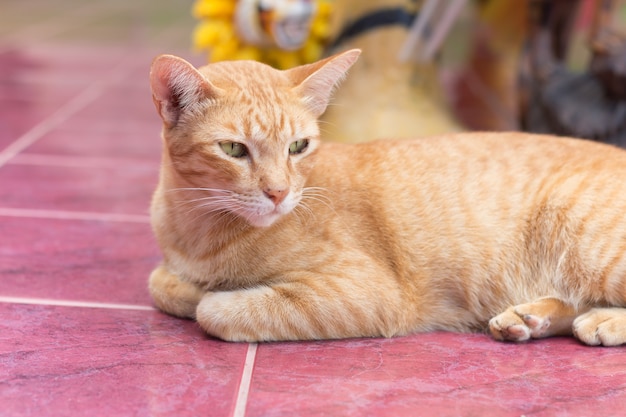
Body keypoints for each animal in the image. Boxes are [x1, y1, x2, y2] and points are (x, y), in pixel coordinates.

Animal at [147, 48, 626, 344]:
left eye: (298, 147)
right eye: (233, 149)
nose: (279, 193)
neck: (196, 229)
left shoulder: (368, 293)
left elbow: (216, 310)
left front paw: (211, 295)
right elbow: (161, 283)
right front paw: (189, 286)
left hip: (584, 236)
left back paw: (600, 320)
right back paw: (528, 318)